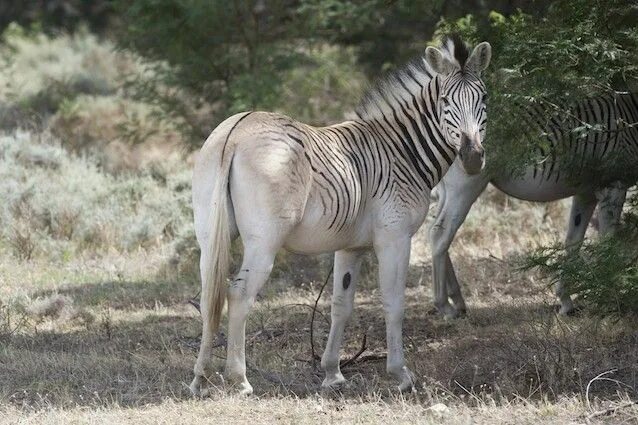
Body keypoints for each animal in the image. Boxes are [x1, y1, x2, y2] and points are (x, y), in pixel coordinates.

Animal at [190, 35, 496, 394]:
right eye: (446, 101)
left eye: (484, 98)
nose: (473, 157)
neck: (402, 152)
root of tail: (236, 131)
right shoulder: (395, 238)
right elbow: (394, 304)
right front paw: (401, 374)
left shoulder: (350, 246)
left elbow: (341, 305)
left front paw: (332, 373)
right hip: (263, 242)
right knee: (238, 294)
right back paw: (239, 379)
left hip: (210, 235)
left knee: (209, 295)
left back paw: (200, 377)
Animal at [432, 93, 636, 318]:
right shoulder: (613, 185)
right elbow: (609, 242)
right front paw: (612, 297)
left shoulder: (586, 192)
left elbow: (573, 241)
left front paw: (566, 300)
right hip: (465, 185)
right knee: (440, 235)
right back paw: (445, 306)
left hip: (446, 189)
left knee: (436, 232)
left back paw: (458, 301)